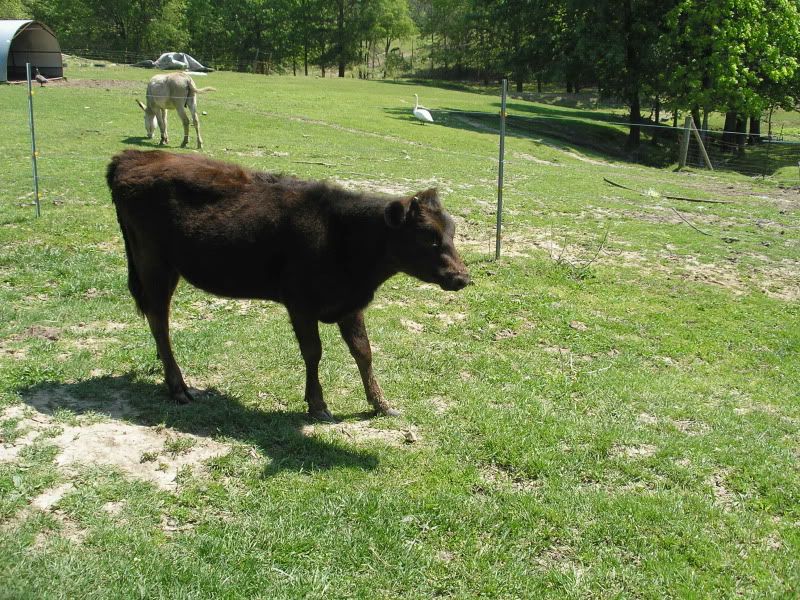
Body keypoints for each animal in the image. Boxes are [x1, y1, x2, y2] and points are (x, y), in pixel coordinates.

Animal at [106, 150, 470, 421]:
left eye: (452, 233)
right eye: (429, 238)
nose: (463, 277)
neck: (342, 235)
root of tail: (130, 156)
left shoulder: (350, 303)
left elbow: (363, 352)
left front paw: (381, 404)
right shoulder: (300, 303)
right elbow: (313, 351)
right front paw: (318, 405)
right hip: (154, 264)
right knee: (159, 319)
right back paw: (179, 387)